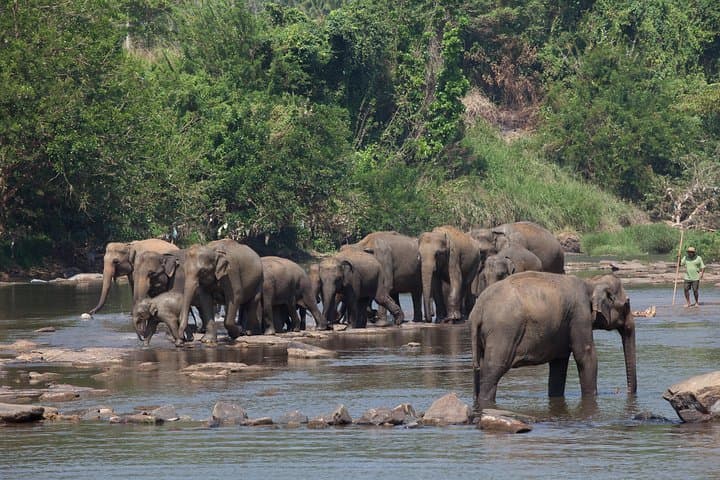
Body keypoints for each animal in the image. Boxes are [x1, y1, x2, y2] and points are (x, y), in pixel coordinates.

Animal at [469, 271, 637, 411]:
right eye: (627, 304)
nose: (627, 392)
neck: (591, 282)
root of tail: (478, 309)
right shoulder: (579, 314)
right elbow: (586, 355)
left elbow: (559, 363)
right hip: (503, 333)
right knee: (493, 370)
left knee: (479, 368)